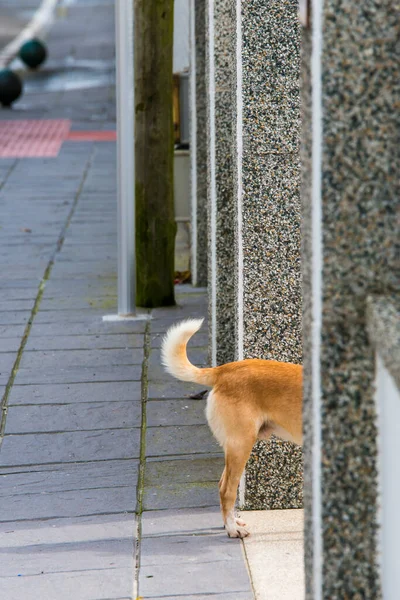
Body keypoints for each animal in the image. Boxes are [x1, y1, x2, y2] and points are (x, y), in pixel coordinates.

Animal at [161, 322, 302, 536]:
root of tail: (223, 370)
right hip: (241, 444)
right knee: (227, 489)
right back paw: (232, 529)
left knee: (222, 484)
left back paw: (232, 523)